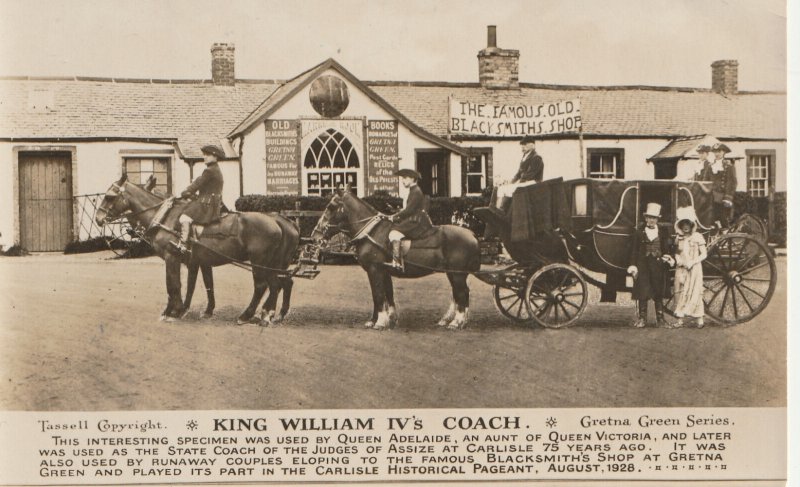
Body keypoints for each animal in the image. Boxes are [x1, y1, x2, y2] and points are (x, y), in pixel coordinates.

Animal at [94, 173, 300, 326]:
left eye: (109, 196)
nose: (98, 219)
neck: (166, 218)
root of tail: (279, 221)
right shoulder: (197, 261)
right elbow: (196, 285)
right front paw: (188, 309)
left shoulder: (172, 257)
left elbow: (174, 284)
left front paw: (173, 311)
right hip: (272, 263)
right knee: (281, 283)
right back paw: (270, 314)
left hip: (259, 262)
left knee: (263, 286)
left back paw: (249, 315)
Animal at [310, 187, 478, 332]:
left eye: (331, 207)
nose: (315, 235)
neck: (372, 232)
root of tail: (471, 234)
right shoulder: (383, 272)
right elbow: (385, 295)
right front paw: (386, 319)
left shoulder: (375, 270)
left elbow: (378, 295)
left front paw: (379, 322)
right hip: (453, 273)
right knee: (459, 294)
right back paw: (455, 321)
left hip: (457, 274)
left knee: (461, 293)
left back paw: (456, 322)